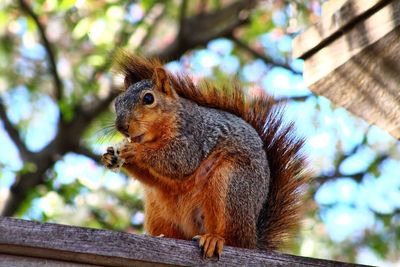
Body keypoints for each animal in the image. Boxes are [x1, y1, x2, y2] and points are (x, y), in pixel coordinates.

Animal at [101, 52, 308, 260]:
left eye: (149, 98)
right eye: (117, 102)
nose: (122, 126)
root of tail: (253, 240)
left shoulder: (193, 137)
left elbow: (179, 160)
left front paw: (135, 151)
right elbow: (153, 178)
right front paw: (110, 157)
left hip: (230, 187)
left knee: (234, 239)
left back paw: (214, 239)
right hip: (157, 210)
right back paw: (162, 237)